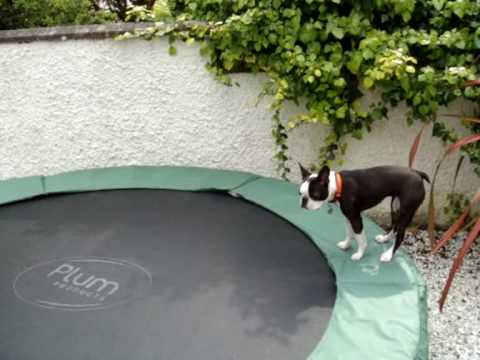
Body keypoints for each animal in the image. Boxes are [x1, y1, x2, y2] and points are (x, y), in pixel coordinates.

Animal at [298, 165, 430, 262]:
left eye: (315, 195)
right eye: (300, 193)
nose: (303, 201)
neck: (339, 186)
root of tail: (417, 173)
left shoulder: (356, 218)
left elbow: (360, 238)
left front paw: (359, 254)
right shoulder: (348, 217)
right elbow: (349, 233)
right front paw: (346, 245)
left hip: (405, 211)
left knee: (401, 234)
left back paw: (388, 255)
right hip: (395, 207)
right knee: (395, 226)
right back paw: (384, 239)